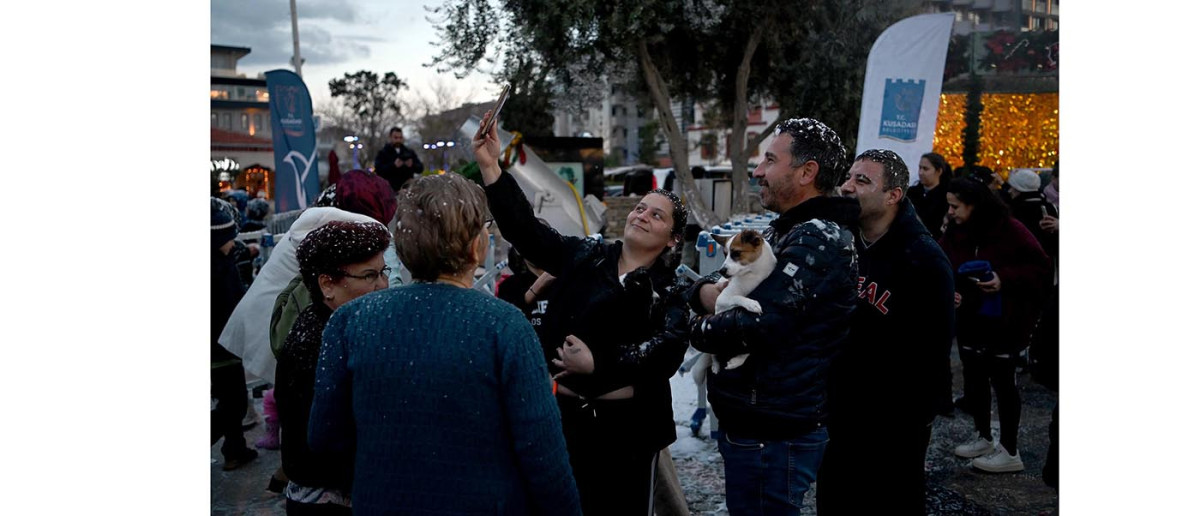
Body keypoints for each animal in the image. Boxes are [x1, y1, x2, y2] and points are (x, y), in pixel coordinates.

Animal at [705, 229, 772, 372]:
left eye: (736, 253)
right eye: (725, 254)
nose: (721, 271)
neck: (752, 273)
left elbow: (750, 346)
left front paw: (738, 360)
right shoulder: (722, 298)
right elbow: (738, 297)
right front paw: (751, 304)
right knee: (713, 355)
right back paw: (715, 366)